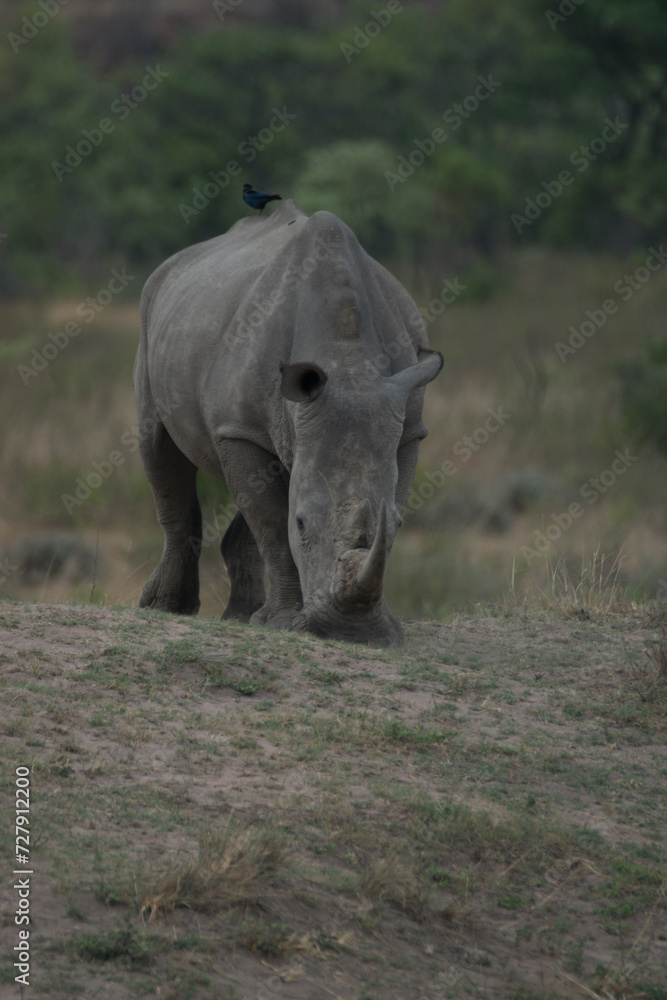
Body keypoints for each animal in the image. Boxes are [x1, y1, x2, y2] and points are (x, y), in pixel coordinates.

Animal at [134, 200, 442, 646]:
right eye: (302, 523)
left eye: (400, 524)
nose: (349, 632)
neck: (348, 363)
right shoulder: (239, 429)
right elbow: (273, 524)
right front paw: (282, 623)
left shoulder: (408, 431)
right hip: (151, 309)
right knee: (157, 445)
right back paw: (165, 607)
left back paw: (240, 617)